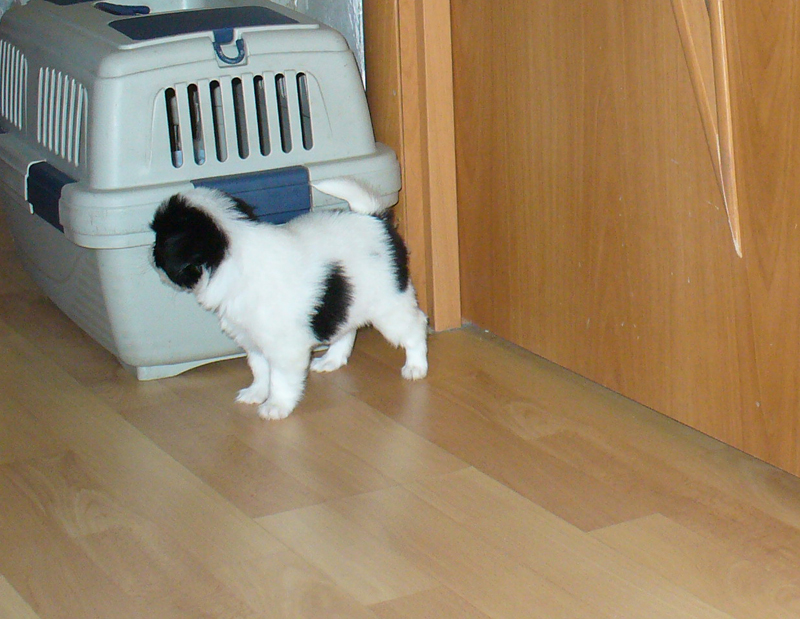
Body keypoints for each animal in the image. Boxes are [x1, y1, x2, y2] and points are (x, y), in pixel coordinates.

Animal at [150, 178, 428, 420]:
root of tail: (374, 218)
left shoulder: (284, 348)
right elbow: (260, 370)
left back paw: (416, 366)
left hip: (388, 306)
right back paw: (331, 360)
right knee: (346, 328)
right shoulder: (253, 339)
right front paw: (256, 393)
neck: (233, 254)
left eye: (160, 242)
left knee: (415, 326)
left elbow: (280, 379)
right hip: (348, 300)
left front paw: (276, 405)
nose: (151, 259)